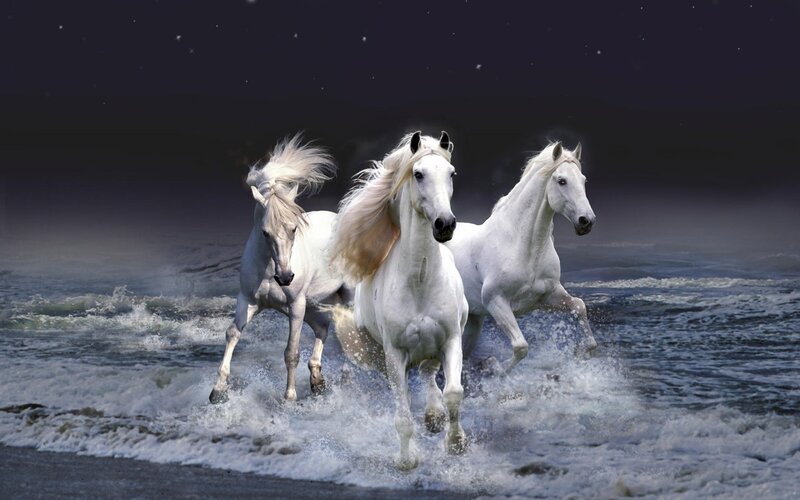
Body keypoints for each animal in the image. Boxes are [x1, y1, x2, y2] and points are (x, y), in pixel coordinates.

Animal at [209, 134, 353, 404]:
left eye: (294, 228)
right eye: (265, 232)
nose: (285, 277)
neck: (268, 269)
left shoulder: (295, 306)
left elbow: (291, 352)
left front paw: (289, 398)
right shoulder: (248, 301)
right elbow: (232, 333)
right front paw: (218, 390)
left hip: (343, 298)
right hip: (314, 303)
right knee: (323, 328)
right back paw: (317, 381)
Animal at [328, 131, 469, 470]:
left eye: (451, 173)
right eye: (418, 174)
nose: (445, 224)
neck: (419, 281)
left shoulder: (451, 339)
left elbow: (453, 393)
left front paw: (456, 443)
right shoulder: (394, 354)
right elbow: (403, 416)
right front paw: (407, 460)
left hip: (434, 346)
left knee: (429, 373)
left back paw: (434, 416)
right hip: (382, 355)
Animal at [445, 142, 597, 374]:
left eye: (583, 180)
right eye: (562, 181)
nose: (586, 221)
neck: (523, 247)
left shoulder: (547, 296)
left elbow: (579, 306)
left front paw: (582, 352)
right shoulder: (495, 301)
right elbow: (521, 346)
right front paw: (494, 366)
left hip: (473, 320)